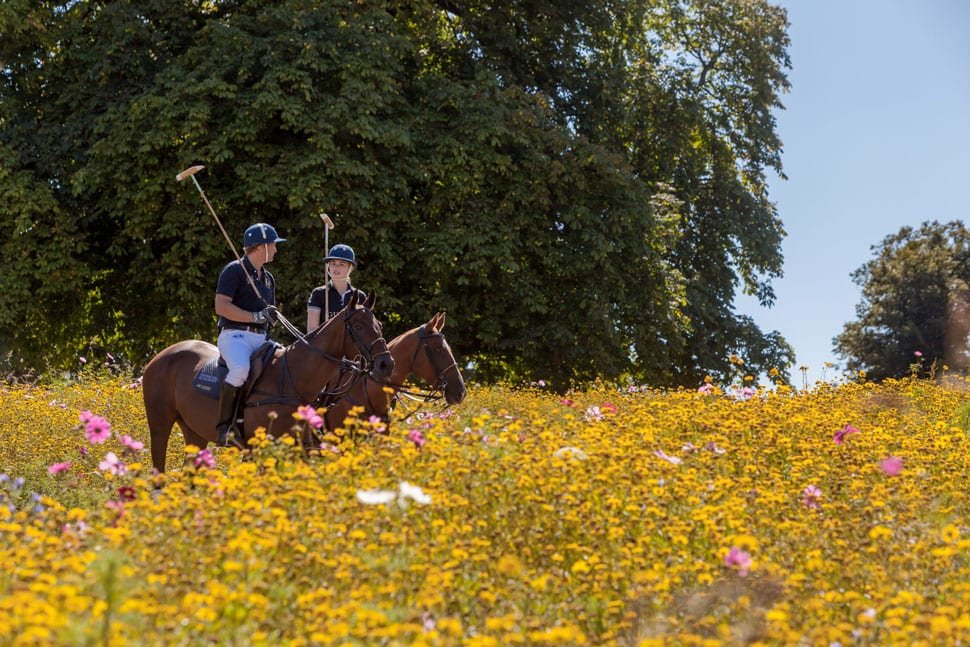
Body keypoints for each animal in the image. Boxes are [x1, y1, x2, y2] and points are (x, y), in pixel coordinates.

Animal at [142, 292, 392, 470]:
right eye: (358, 326)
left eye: (379, 324)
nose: (386, 364)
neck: (295, 378)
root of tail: (159, 356)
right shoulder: (260, 449)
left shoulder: (301, 448)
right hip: (159, 424)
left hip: (195, 432)